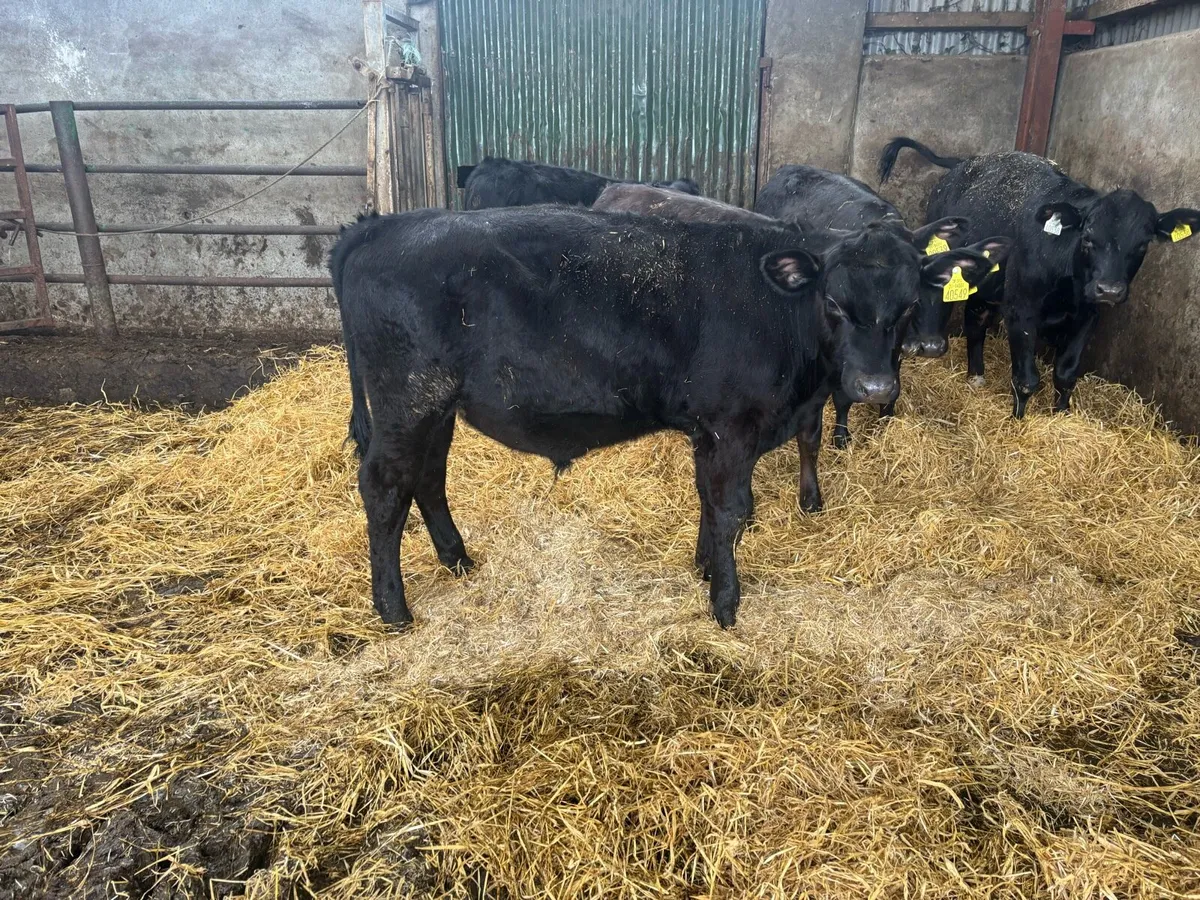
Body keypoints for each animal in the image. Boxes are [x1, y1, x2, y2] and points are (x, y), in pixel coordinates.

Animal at [331, 207, 995, 629]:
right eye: (833, 300)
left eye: (907, 306)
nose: (875, 385)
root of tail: (383, 225)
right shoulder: (732, 425)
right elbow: (732, 509)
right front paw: (725, 604)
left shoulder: (712, 431)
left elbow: (709, 501)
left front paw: (703, 568)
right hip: (409, 401)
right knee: (384, 488)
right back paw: (394, 609)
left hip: (434, 408)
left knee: (428, 477)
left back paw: (458, 560)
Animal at [753, 164, 987, 448]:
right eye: (839, 303)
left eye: (912, 301)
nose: (931, 346)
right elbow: (843, 396)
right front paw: (841, 438)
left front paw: (885, 423)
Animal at [879, 136, 1200, 417]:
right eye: (1087, 237)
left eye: (1143, 244)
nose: (1108, 290)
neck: (1067, 284)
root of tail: (965, 162)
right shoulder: (1021, 312)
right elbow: (1026, 380)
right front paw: (1018, 421)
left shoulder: (1088, 316)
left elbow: (1066, 374)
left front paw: (1061, 415)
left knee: (976, 318)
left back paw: (976, 375)